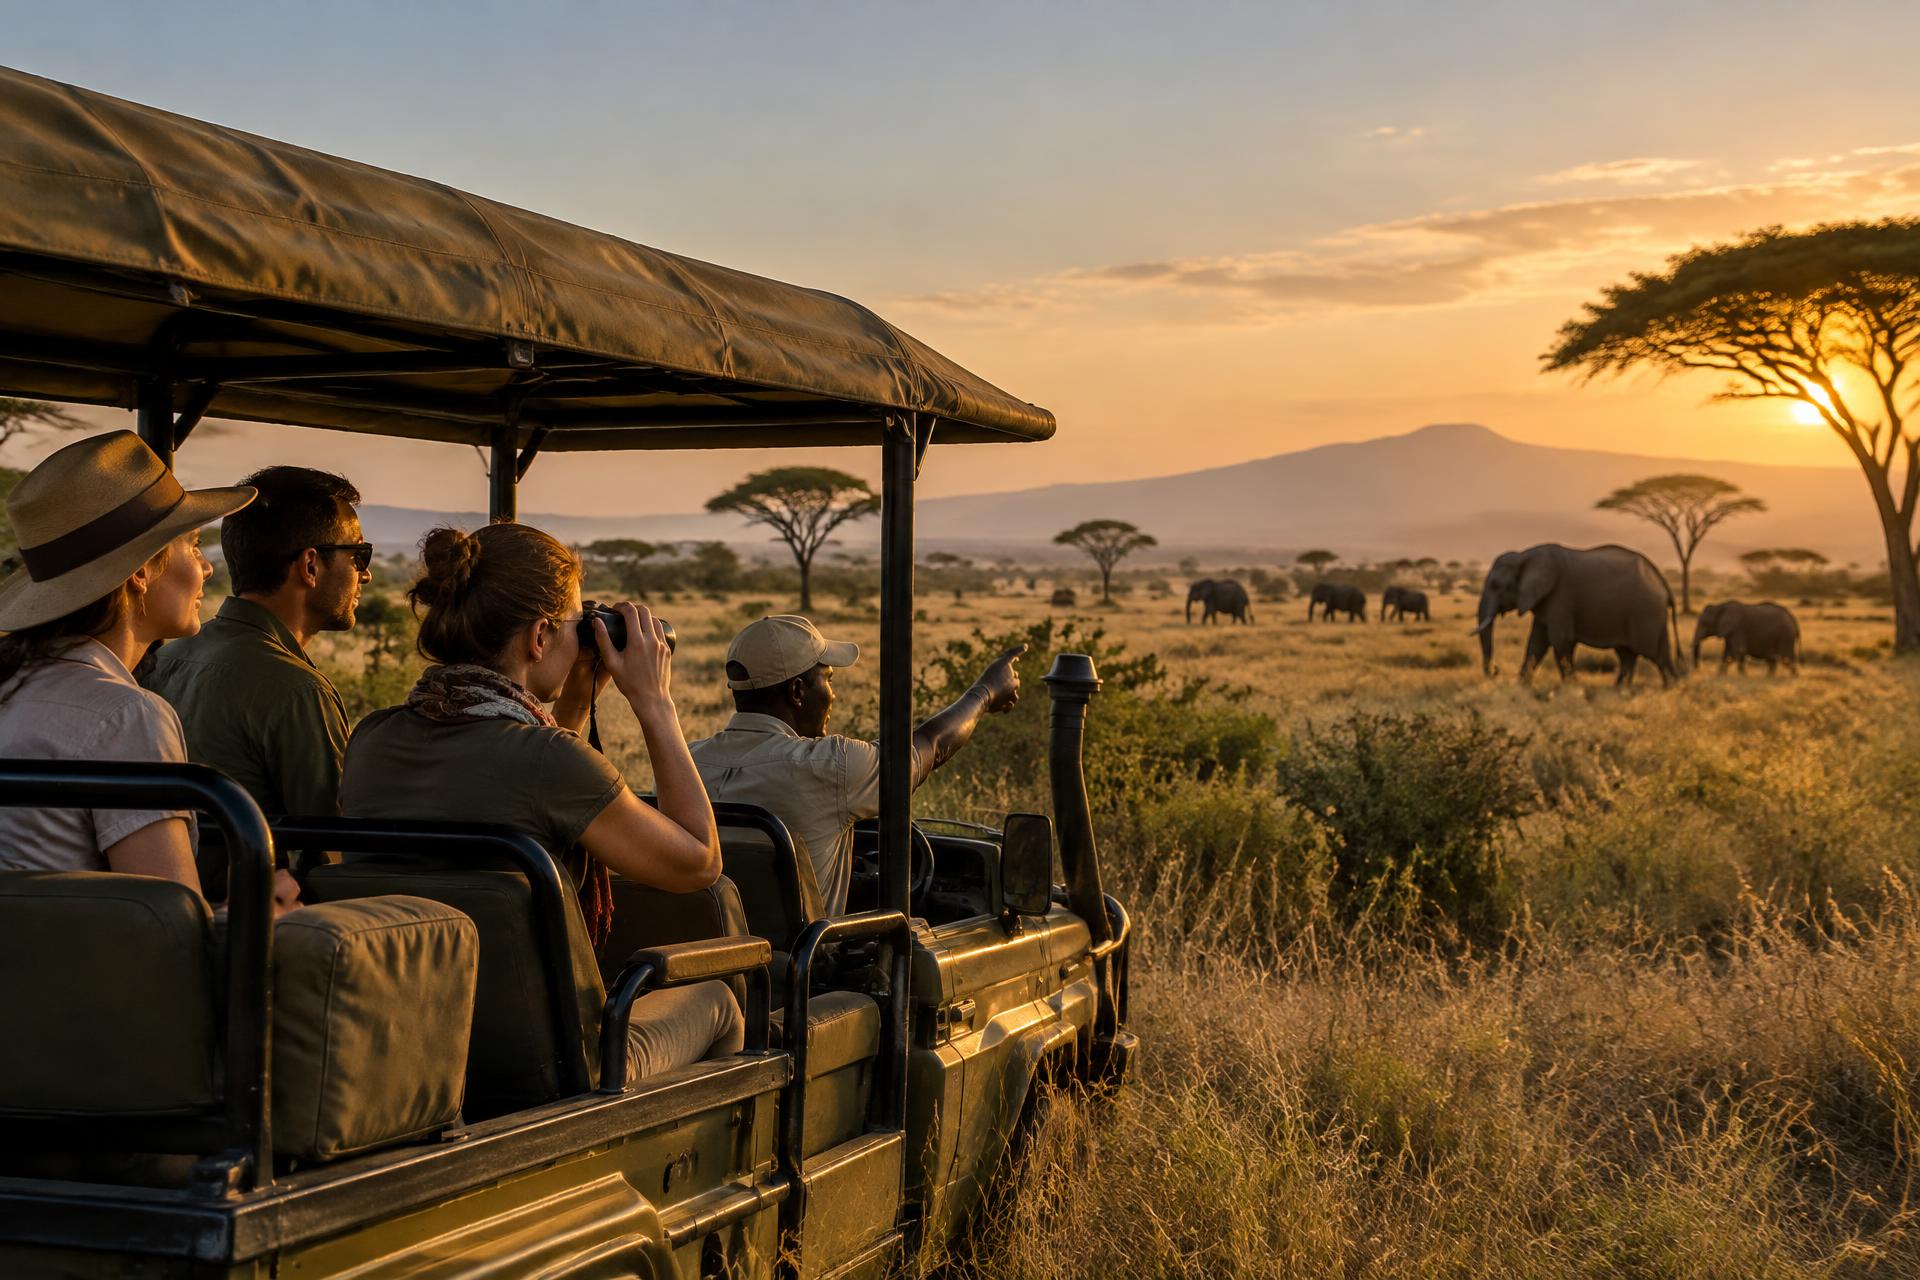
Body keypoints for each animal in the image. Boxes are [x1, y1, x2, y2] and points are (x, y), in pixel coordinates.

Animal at [1470, 543, 1681, 687]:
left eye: (1496, 586)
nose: (1495, 671)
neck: (1524, 555)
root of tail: (1661, 580)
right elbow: (1536, 642)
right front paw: (1522, 687)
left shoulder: (1560, 596)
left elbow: (1560, 640)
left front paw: (1572, 687)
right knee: (1627, 654)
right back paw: (1619, 690)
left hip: (1646, 611)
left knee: (1654, 653)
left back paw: (1671, 689)